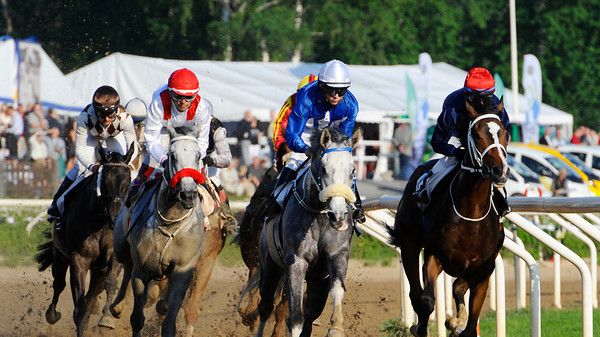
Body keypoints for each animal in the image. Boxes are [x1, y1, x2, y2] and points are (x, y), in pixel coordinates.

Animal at [35, 142, 134, 336]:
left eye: (128, 180)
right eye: (106, 179)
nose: (115, 216)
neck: (102, 223)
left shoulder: (114, 256)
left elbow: (109, 284)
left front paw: (107, 318)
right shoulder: (79, 258)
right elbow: (80, 307)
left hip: (99, 267)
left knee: (95, 288)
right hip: (60, 254)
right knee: (59, 283)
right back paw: (52, 314)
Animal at [112, 125, 206, 336]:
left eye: (198, 155)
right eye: (173, 155)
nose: (188, 194)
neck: (170, 222)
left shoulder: (182, 271)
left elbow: (169, 323)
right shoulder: (141, 271)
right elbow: (137, 318)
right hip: (121, 245)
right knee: (126, 264)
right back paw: (116, 307)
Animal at [253, 125, 360, 336]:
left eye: (352, 169)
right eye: (324, 168)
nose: (338, 214)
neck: (319, 216)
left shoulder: (337, 255)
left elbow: (337, 290)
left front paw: (336, 328)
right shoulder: (296, 262)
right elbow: (295, 318)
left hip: (316, 280)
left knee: (310, 314)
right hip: (270, 265)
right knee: (266, 306)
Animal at [386, 96, 508, 334]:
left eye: (505, 132)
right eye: (477, 134)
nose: (499, 170)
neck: (472, 213)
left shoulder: (484, 270)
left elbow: (470, 321)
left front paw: (458, 322)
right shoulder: (434, 257)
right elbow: (426, 301)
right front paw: (421, 327)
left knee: (456, 287)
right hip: (409, 243)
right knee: (415, 292)